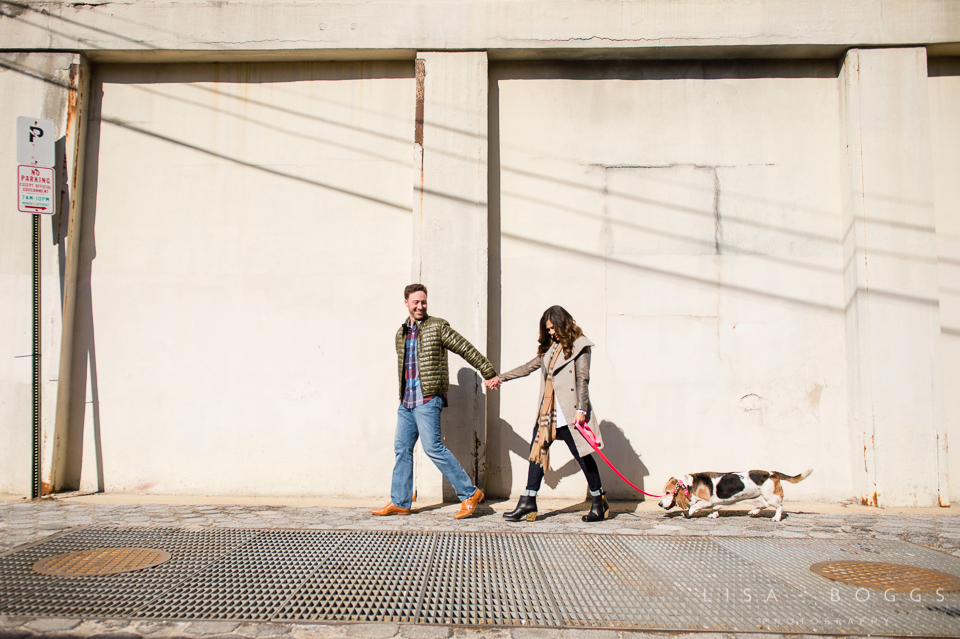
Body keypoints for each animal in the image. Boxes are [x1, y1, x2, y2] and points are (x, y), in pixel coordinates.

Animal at [660, 468, 808, 524]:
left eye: (667, 492)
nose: (659, 504)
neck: (687, 484)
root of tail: (772, 473)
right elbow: (714, 508)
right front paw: (714, 514)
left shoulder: (706, 501)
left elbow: (695, 506)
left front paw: (688, 513)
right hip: (759, 497)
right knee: (764, 505)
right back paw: (754, 512)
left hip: (771, 496)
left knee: (780, 506)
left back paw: (776, 518)